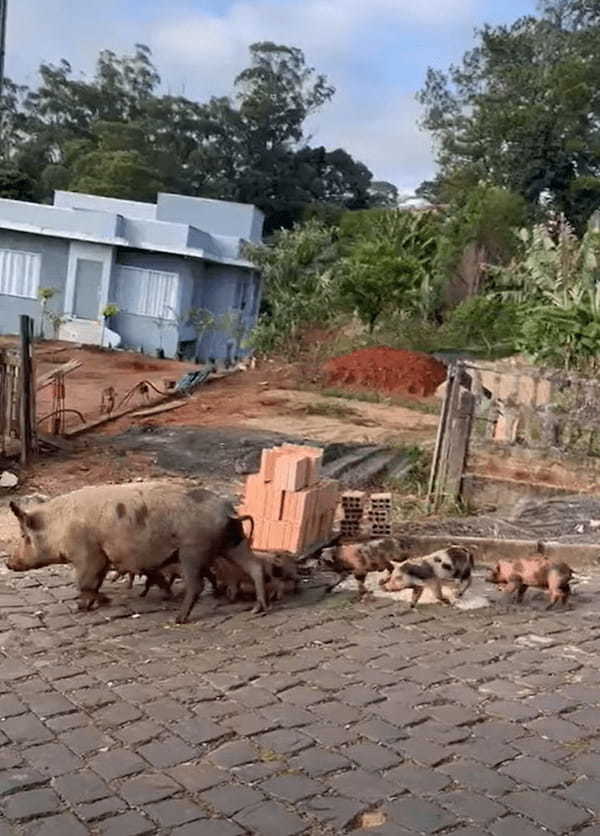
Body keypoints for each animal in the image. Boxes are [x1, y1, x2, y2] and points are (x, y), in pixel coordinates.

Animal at [8, 480, 266, 624]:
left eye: (24, 536)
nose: (9, 563)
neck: (59, 527)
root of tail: (227, 511)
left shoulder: (88, 554)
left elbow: (85, 583)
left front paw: (81, 608)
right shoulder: (102, 558)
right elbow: (96, 583)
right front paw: (103, 601)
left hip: (193, 550)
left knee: (197, 585)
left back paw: (179, 619)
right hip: (233, 542)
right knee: (255, 567)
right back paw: (257, 609)